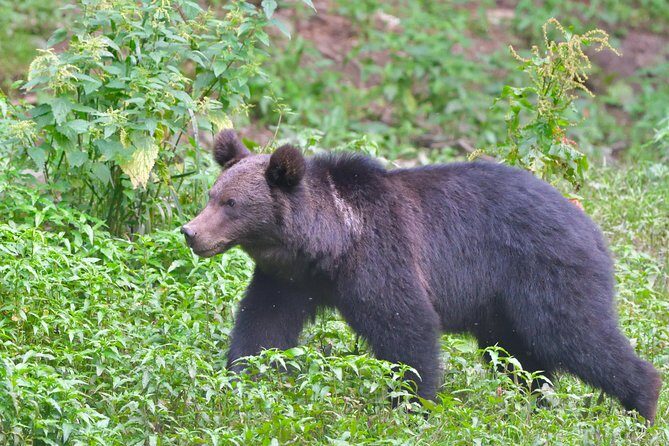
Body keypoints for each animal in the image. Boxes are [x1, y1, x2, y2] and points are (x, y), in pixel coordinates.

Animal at [181, 130, 661, 423]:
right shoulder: (289, 279)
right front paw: (237, 379)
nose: (191, 232)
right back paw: (537, 403)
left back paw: (642, 404)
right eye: (212, 195)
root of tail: (593, 228)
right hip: (500, 308)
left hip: (544, 272)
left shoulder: (381, 257)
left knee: (577, 334)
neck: (329, 244)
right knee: (520, 358)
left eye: (231, 204)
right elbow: (263, 325)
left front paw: (413, 405)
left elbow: (406, 326)